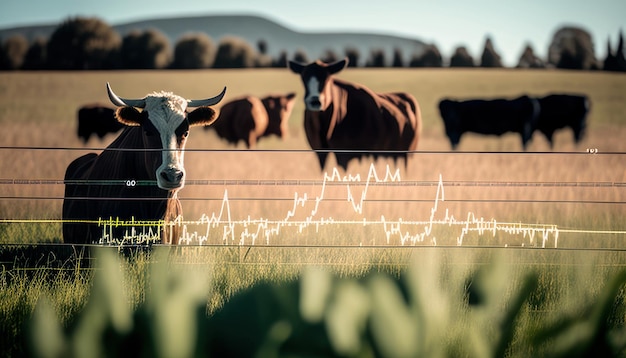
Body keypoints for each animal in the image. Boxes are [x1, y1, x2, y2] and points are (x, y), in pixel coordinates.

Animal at [288, 58, 420, 171]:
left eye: (327, 79)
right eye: (303, 79)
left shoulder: (348, 155)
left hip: (407, 153)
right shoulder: (319, 152)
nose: (315, 101)